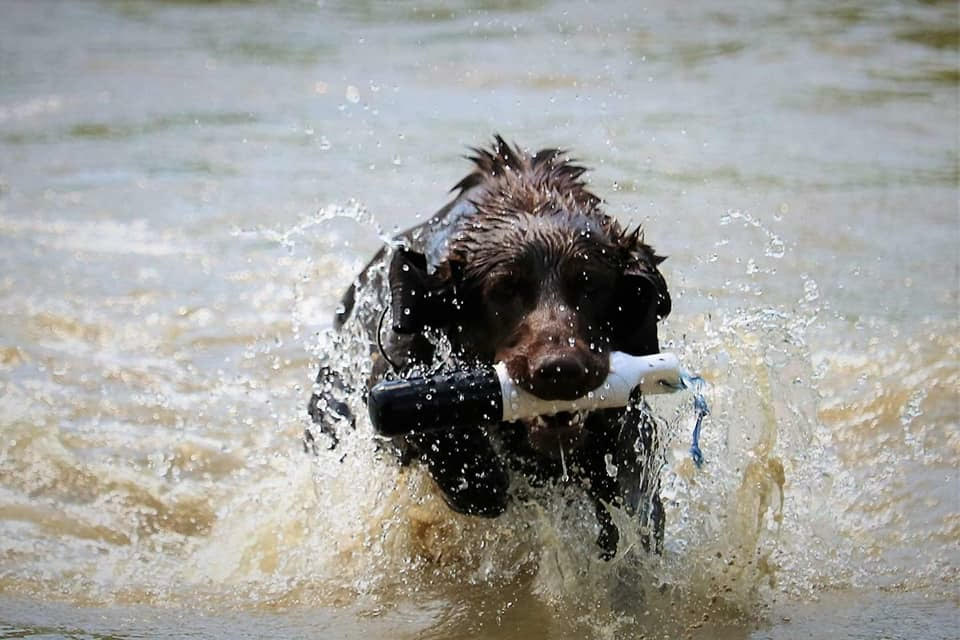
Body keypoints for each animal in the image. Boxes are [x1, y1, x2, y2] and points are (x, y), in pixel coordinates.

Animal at [312, 138, 672, 556]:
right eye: (504, 290)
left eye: (589, 285)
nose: (560, 370)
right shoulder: (401, 365)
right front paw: (480, 480)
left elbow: (631, 479)